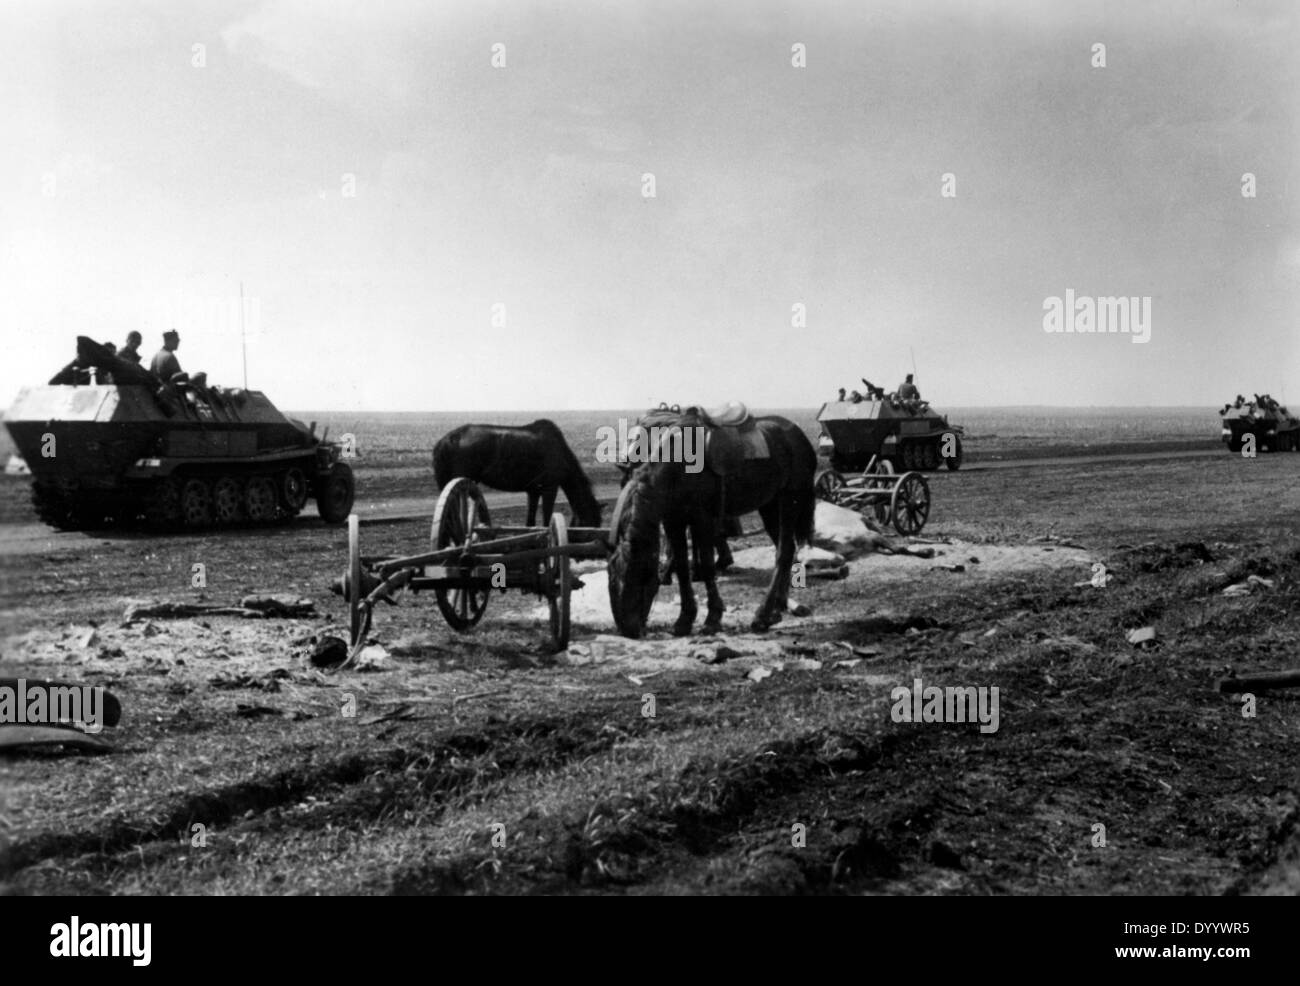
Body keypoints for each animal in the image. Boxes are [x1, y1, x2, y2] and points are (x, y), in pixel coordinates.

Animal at [431, 421, 603, 528]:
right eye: (591, 521)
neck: (558, 450)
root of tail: (449, 439)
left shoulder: (533, 491)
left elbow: (531, 520)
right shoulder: (550, 488)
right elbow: (546, 517)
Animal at [605, 411, 811, 637]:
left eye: (642, 574)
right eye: (611, 577)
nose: (628, 629)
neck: (678, 466)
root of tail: (797, 433)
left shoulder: (703, 519)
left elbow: (707, 565)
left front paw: (712, 618)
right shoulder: (673, 522)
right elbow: (681, 566)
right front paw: (684, 619)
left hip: (790, 500)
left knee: (783, 552)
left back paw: (763, 615)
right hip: (770, 505)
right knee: (786, 550)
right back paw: (777, 608)